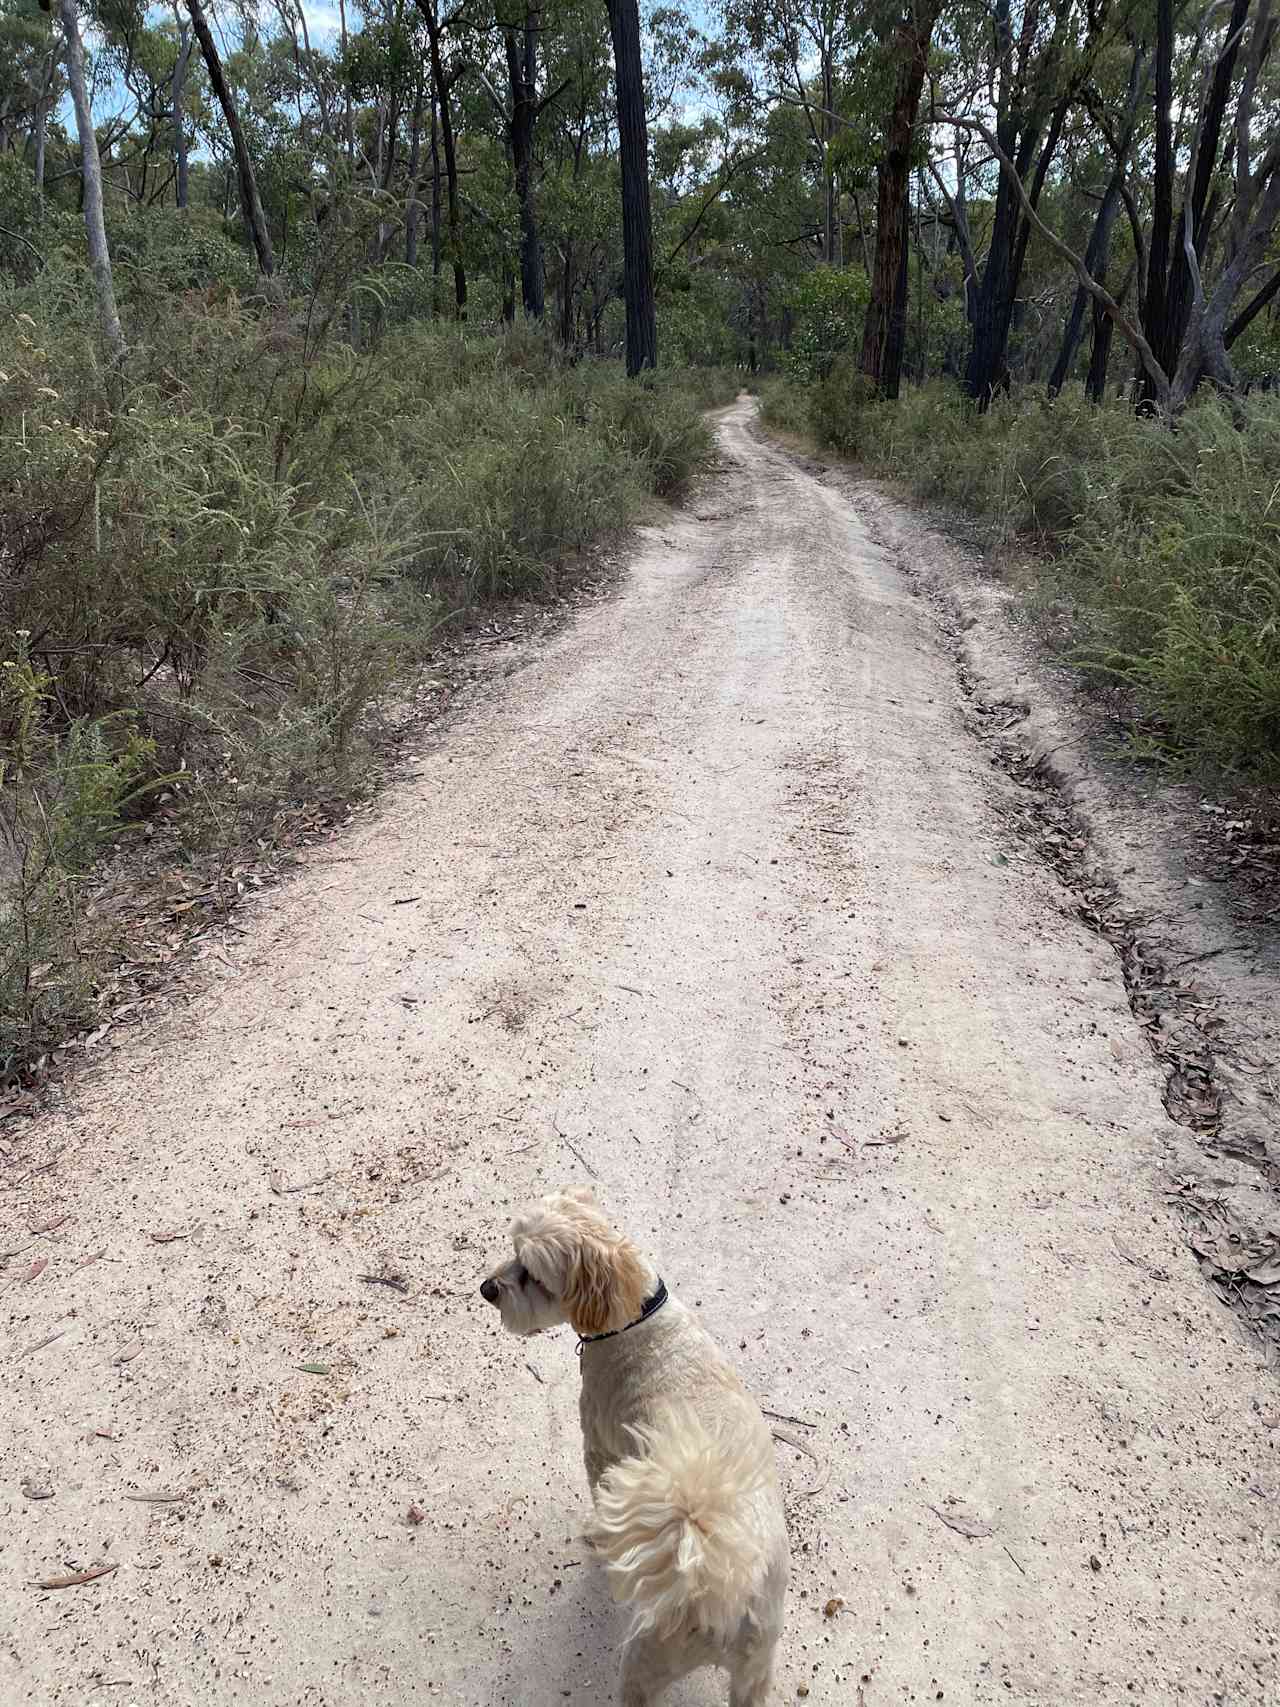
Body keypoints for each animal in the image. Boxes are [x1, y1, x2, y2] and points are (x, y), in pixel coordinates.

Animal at [477, 1188, 788, 1707]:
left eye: (533, 1275)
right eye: (514, 1251)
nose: (487, 1289)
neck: (634, 1314)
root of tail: (723, 1588)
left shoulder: (600, 1446)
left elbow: (600, 1488)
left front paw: (599, 1535)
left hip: (648, 1657)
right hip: (755, 1669)